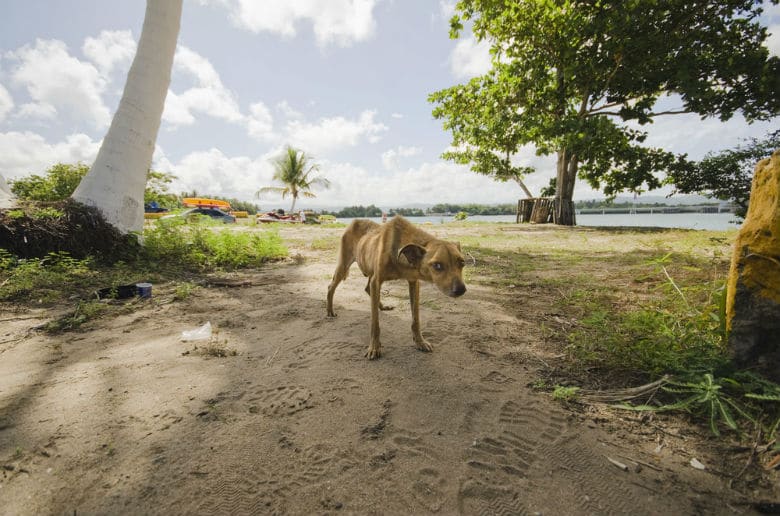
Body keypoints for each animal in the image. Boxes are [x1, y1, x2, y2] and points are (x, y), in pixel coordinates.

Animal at [326, 216, 466, 360]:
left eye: (462, 262)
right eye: (437, 265)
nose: (461, 290)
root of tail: (355, 221)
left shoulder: (413, 283)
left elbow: (416, 319)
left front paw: (420, 341)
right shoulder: (377, 280)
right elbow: (375, 324)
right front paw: (374, 347)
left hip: (369, 272)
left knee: (367, 288)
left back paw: (382, 306)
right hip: (344, 266)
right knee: (331, 286)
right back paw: (330, 311)